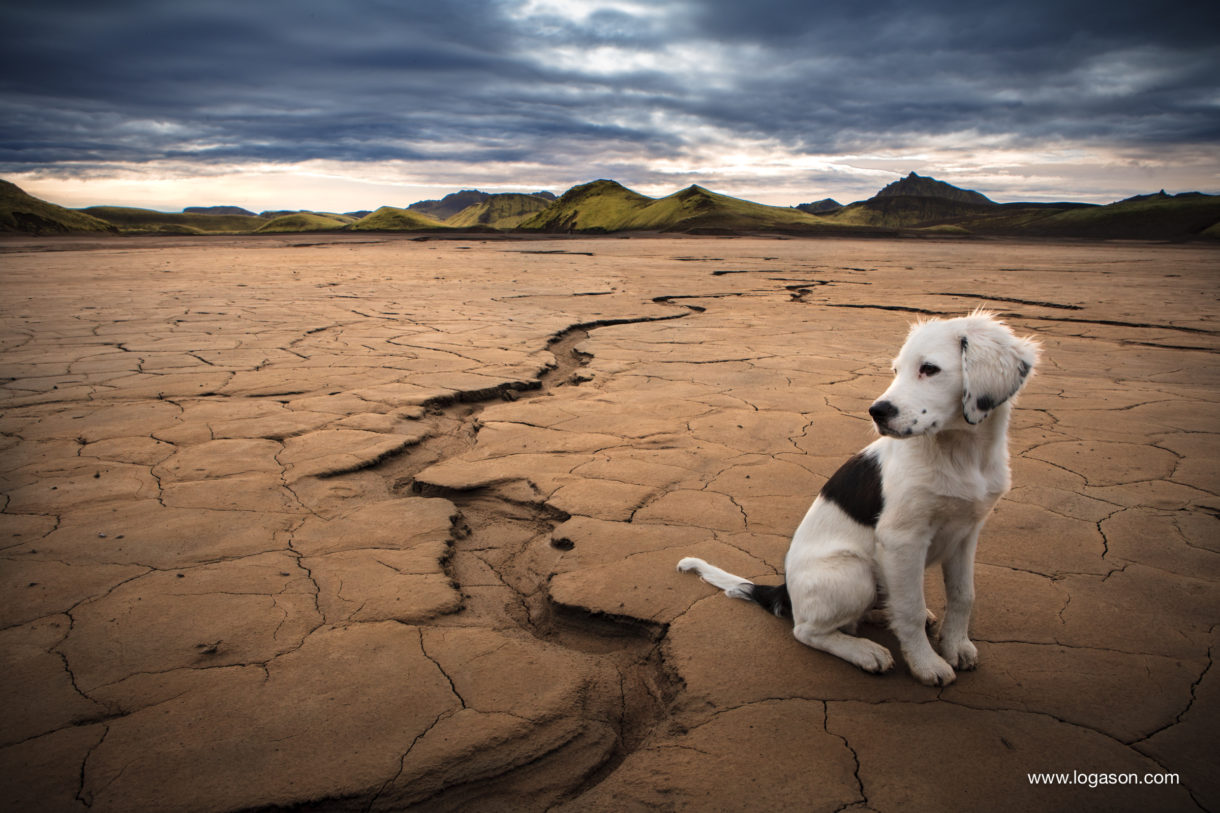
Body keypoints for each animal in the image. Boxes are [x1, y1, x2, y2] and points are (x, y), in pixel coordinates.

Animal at [678, 310, 1039, 683]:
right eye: (896, 370)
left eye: (929, 369)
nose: (877, 411)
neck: (960, 455)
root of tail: (785, 591)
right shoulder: (901, 539)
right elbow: (909, 610)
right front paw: (926, 664)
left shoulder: (967, 532)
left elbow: (963, 595)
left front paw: (956, 646)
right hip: (855, 573)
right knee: (807, 630)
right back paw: (865, 650)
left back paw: (881, 616)